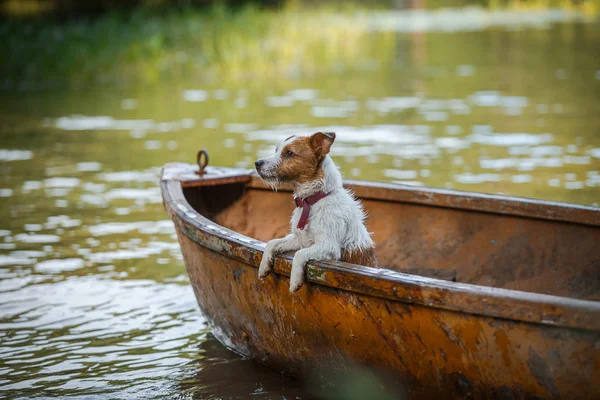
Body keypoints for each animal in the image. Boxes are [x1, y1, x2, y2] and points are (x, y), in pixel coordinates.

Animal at [254, 131, 378, 290]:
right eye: (276, 150)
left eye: (289, 153)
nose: (257, 163)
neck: (311, 201)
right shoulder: (299, 239)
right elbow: (272, 243)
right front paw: (263, 266)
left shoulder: (329, 246)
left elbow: (299, 254)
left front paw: (295, 281)